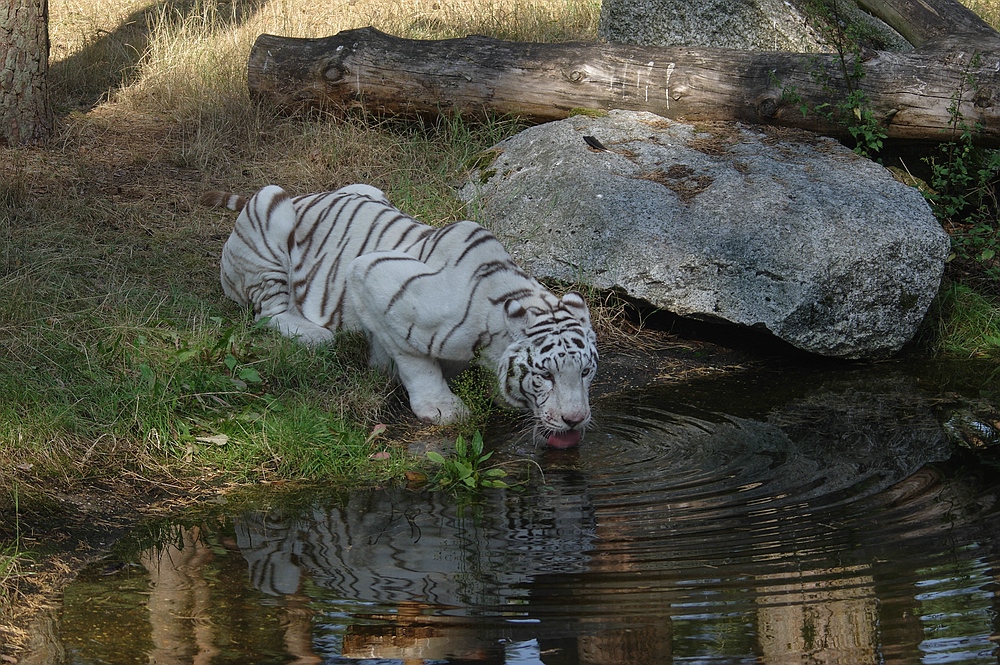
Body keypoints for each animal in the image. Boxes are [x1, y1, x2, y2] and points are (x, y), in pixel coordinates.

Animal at [201, 184, 592, 448]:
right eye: (545, 375)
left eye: (586, 372)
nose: (575, 420)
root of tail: (302, 196)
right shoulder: (369, 276)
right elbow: (414, 360)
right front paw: (440, 407)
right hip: (270, 215)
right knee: (268, 312)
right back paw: (314, 334)